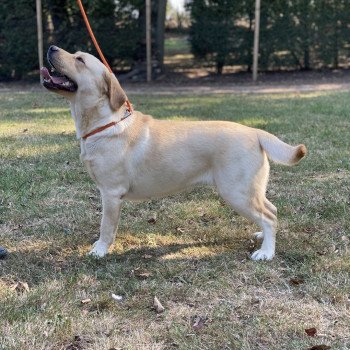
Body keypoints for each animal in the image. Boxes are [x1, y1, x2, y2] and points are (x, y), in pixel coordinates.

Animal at [41, 45, 306, 260]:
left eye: (80, 59)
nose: (52, 47)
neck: (105, 123)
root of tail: (255, 131)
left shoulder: (111, 193)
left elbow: (106, 227)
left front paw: (100, 250)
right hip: (250, 190)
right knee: (271, 211)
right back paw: (262, 236)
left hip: (236, 191)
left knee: (269, 216)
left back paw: (266, 253)